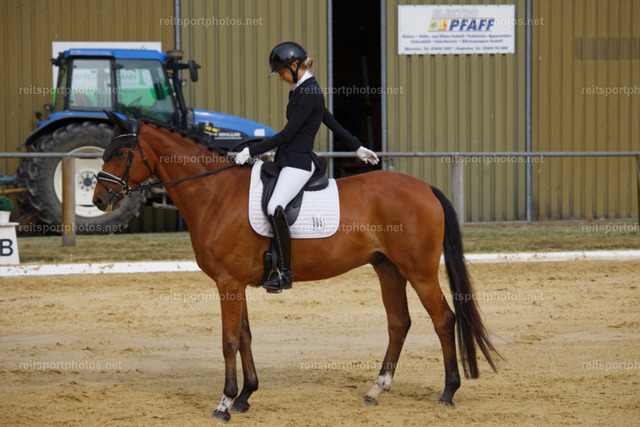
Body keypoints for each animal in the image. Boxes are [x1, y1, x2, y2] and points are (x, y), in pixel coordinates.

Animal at [92, 113, 500, 422]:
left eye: (121, 152)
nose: (98, 199)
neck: (214, 193)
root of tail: (426, 188)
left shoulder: (228, 281)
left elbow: (228, 340)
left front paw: (224, 403)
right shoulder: (237, 282)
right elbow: (244, 336)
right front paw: (246, 396)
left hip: (419, 271)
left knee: (443, 320)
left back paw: (448, 391)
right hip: (388, 269)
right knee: (399, 323)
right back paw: (377, 389)